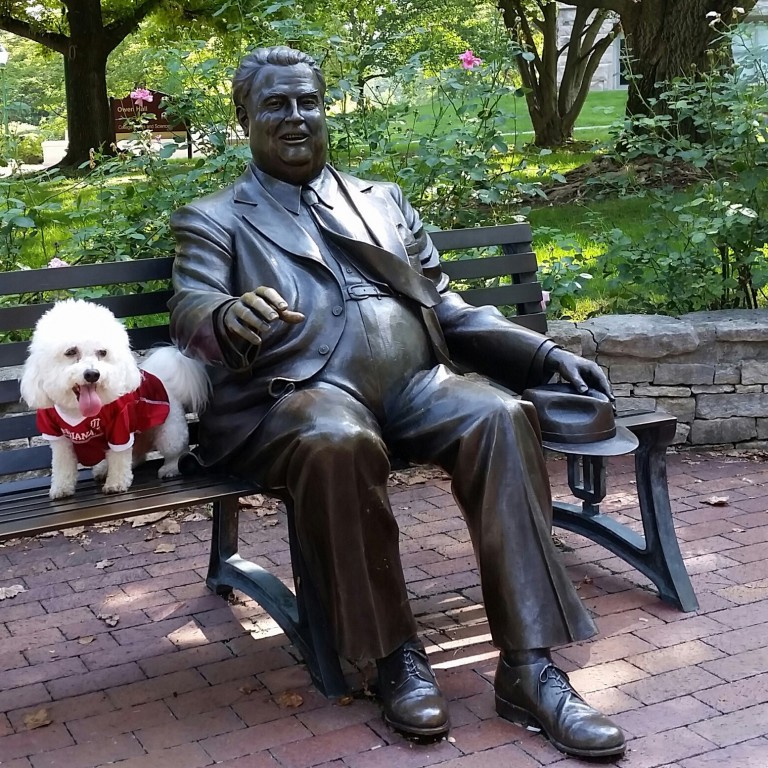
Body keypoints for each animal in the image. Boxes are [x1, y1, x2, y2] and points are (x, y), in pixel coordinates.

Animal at [20, 296, 210, 500]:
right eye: (70, 352)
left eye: (102, 352)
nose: (92, 374)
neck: (79, 413)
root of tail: (165, 377)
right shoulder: (58, 437)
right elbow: (62, 465)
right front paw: (61, 488)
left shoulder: (120, 428)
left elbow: (119, 460)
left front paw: (116, 484)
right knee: (137, 455)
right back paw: (104, 468)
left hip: (169, 430)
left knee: (176, 451)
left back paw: (170, 468)